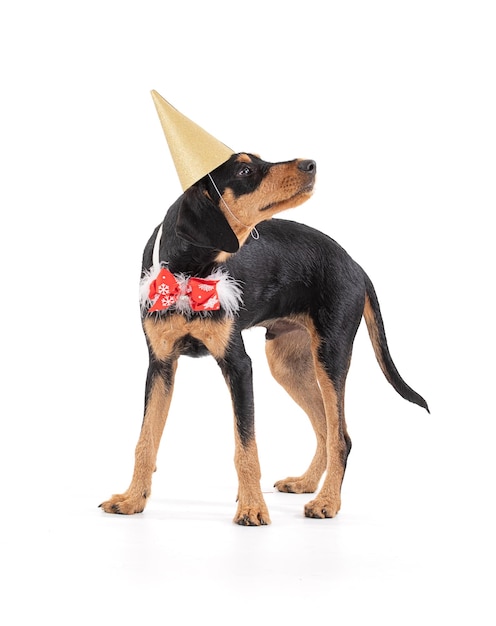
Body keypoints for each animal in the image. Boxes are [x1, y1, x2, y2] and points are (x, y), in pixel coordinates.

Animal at [99, 151, 428, 520]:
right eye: (245, 169)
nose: (310, 164)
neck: (189, 276)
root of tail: (356, 266)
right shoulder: (160, 365)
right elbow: (146, 440)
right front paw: (132, 499)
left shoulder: (239, 366)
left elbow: (246, 447)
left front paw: (253, 507)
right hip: (288, 365)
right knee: (327, 429)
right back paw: (306, 483)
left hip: (331, 356)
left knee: (340, 436)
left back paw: (327, 501)